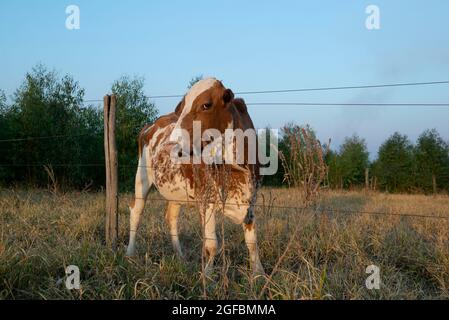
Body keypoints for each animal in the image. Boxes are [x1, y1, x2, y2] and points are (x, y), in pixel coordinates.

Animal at [124, 77, 264, 276]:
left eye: (206, 104)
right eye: (181, 107)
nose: (170, 146)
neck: (237, 170)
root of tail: (151, 124)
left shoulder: (251, 201)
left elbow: (252, 242)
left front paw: (259, 274)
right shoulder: (206, 200)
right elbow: (212, 245)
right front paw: (207, 277)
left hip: (176, 191)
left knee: (171, 217)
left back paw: (180, 256)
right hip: (142, 177)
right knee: (136, 212)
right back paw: (129, 254)